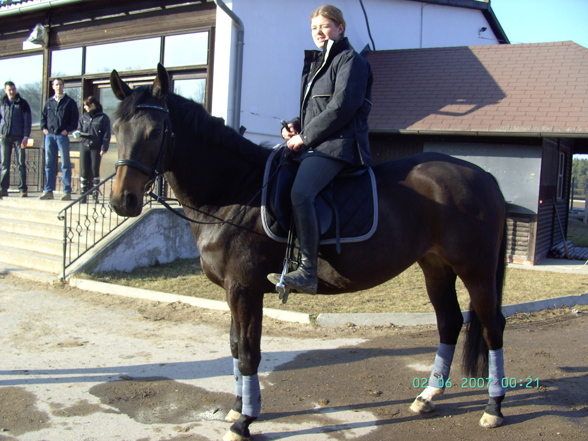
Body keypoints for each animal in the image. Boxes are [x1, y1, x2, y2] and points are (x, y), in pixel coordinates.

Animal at [112, 64, 508, 440]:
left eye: (156, 132)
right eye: (116, 130)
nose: (122, 201)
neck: (236, 192)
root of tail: (485, 176)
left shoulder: (244, 289)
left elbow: (249, 354)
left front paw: (244, 422)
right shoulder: (232, 290)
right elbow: (235, 347)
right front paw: (238, 407)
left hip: (476, 270)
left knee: (492, 327)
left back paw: (494, 407)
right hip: (436, 267)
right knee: (449, 322)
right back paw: (427, 396)